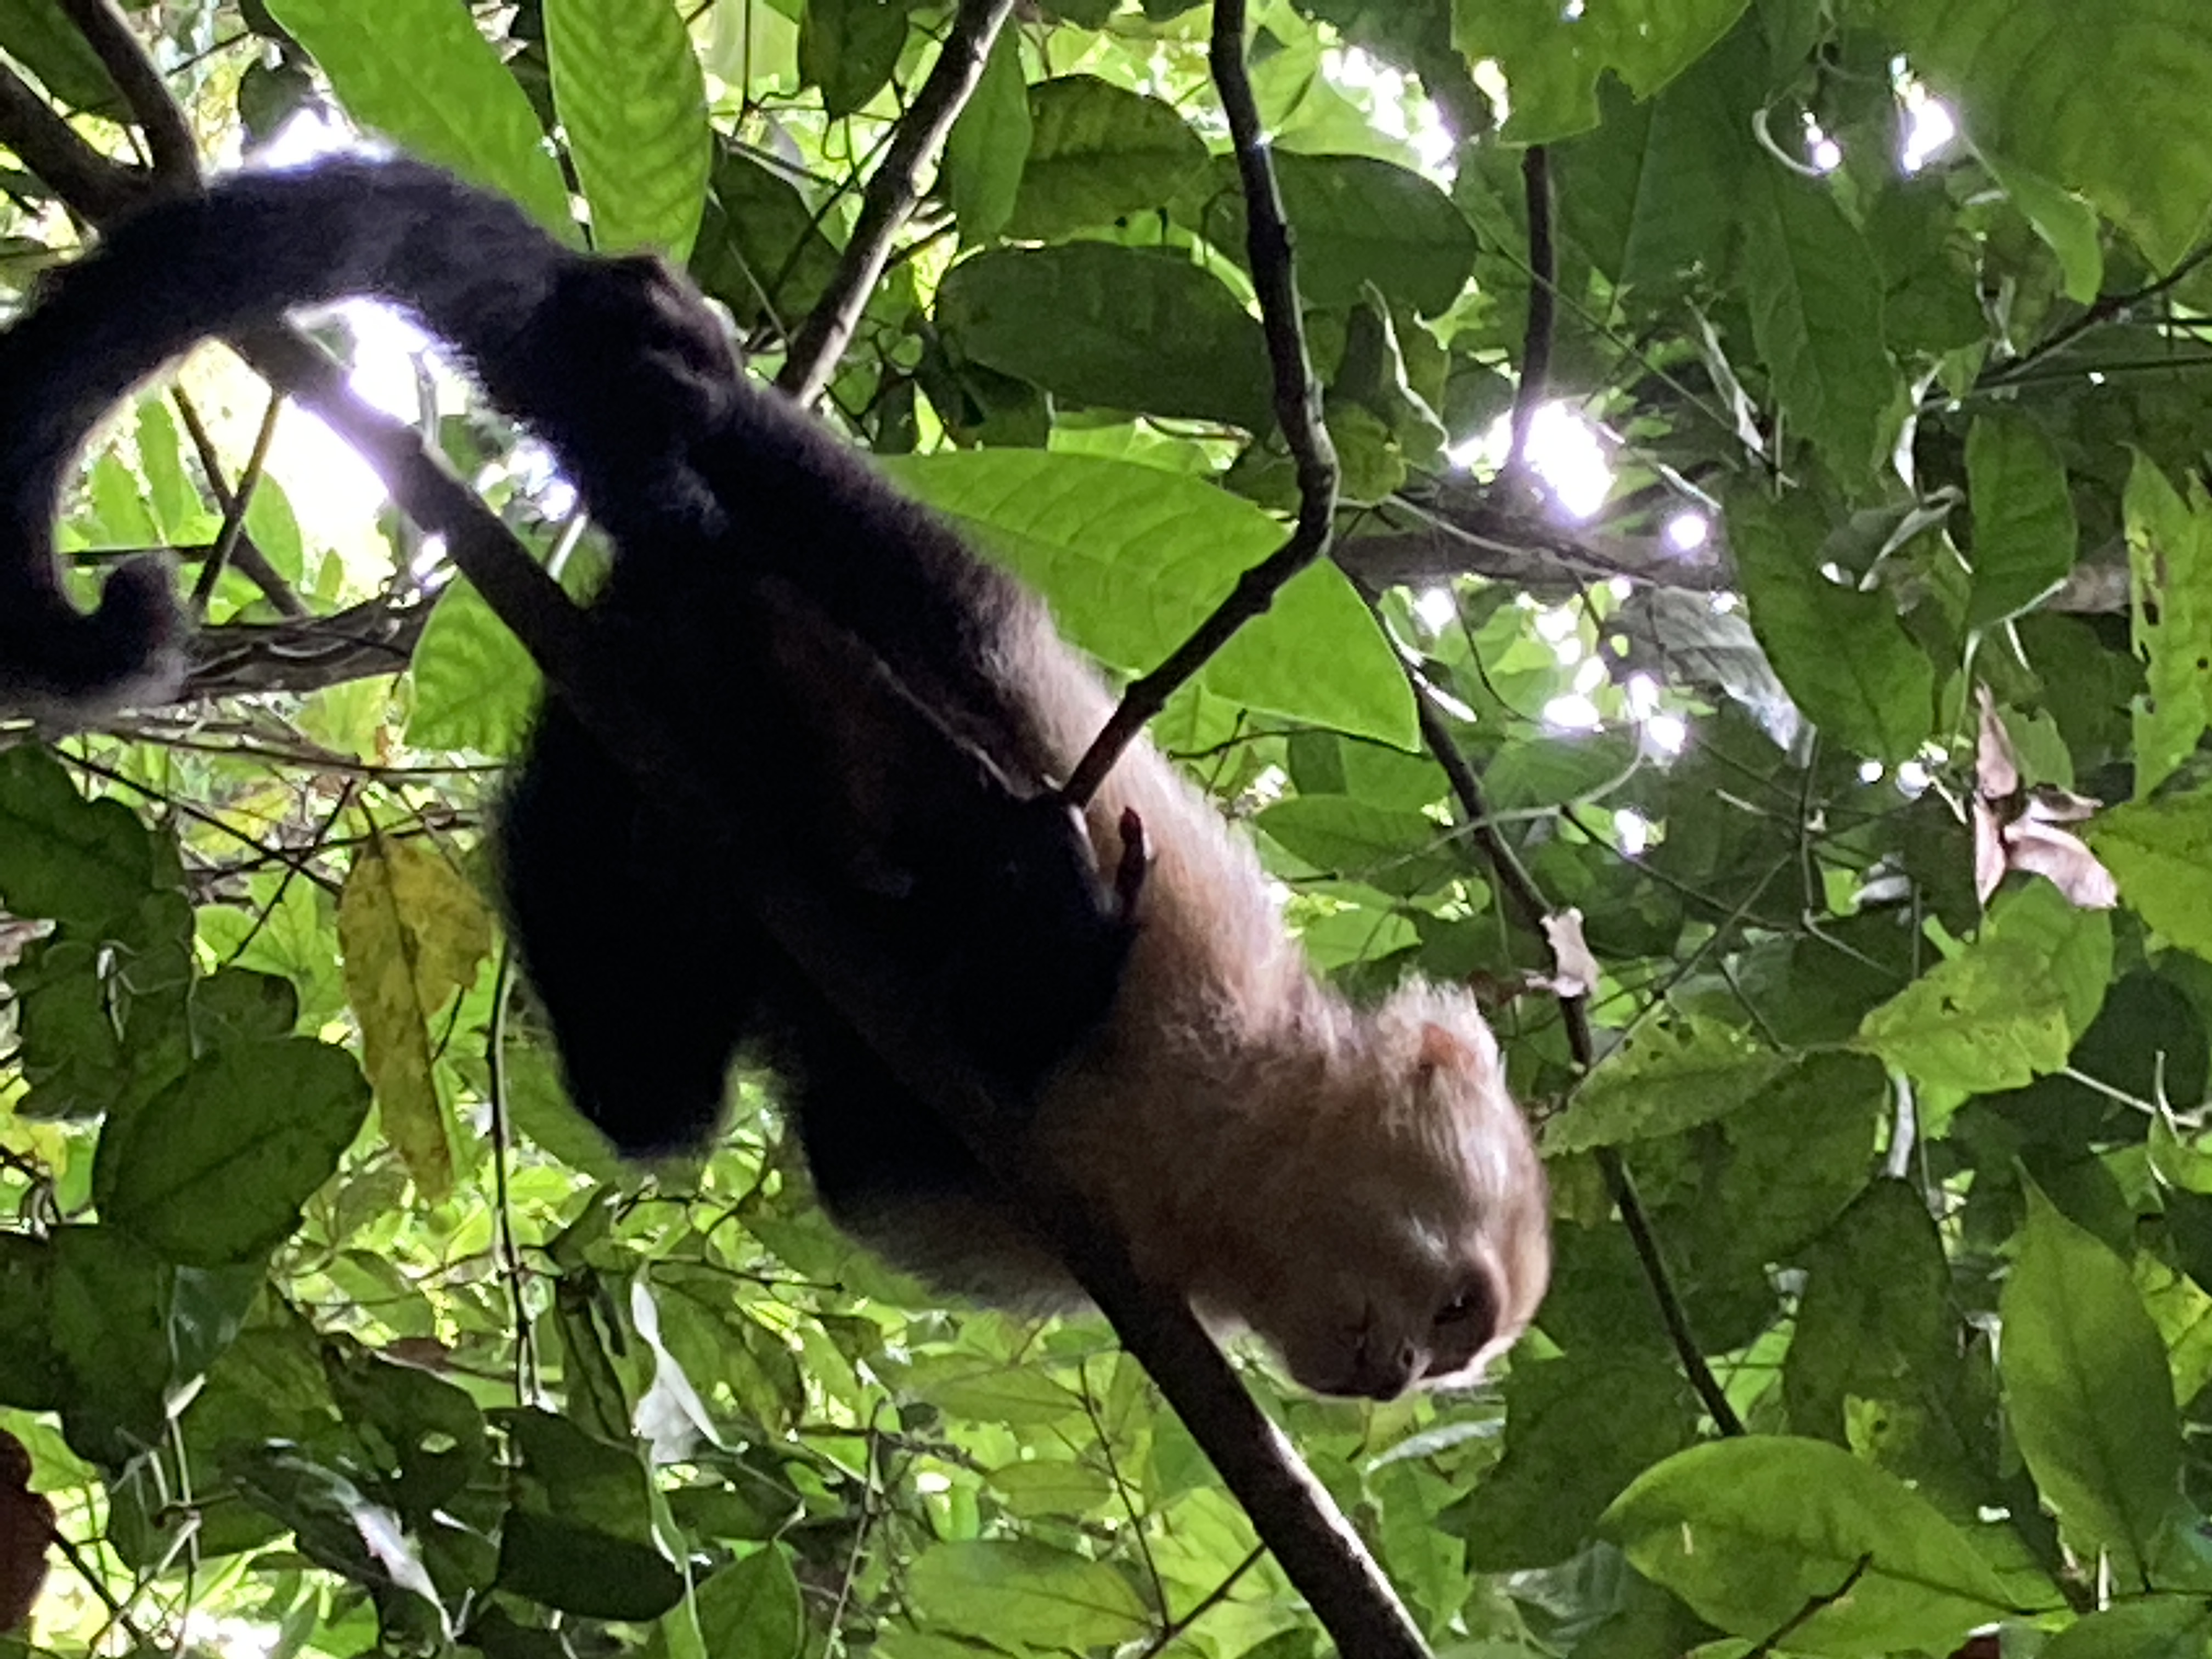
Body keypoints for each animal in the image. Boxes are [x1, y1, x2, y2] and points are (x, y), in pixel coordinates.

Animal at [0, 156, 1548, 1398]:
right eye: (1454, 1311)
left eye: (1452, 1357)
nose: (1397, 1383)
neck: (1224, 1145)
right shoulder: (1205, 947)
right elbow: (948, 608)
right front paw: (1037, 918)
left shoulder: (1061, 1235)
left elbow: (852, 1147)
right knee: (853, 576)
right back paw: (661, 417)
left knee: (649, 1075)